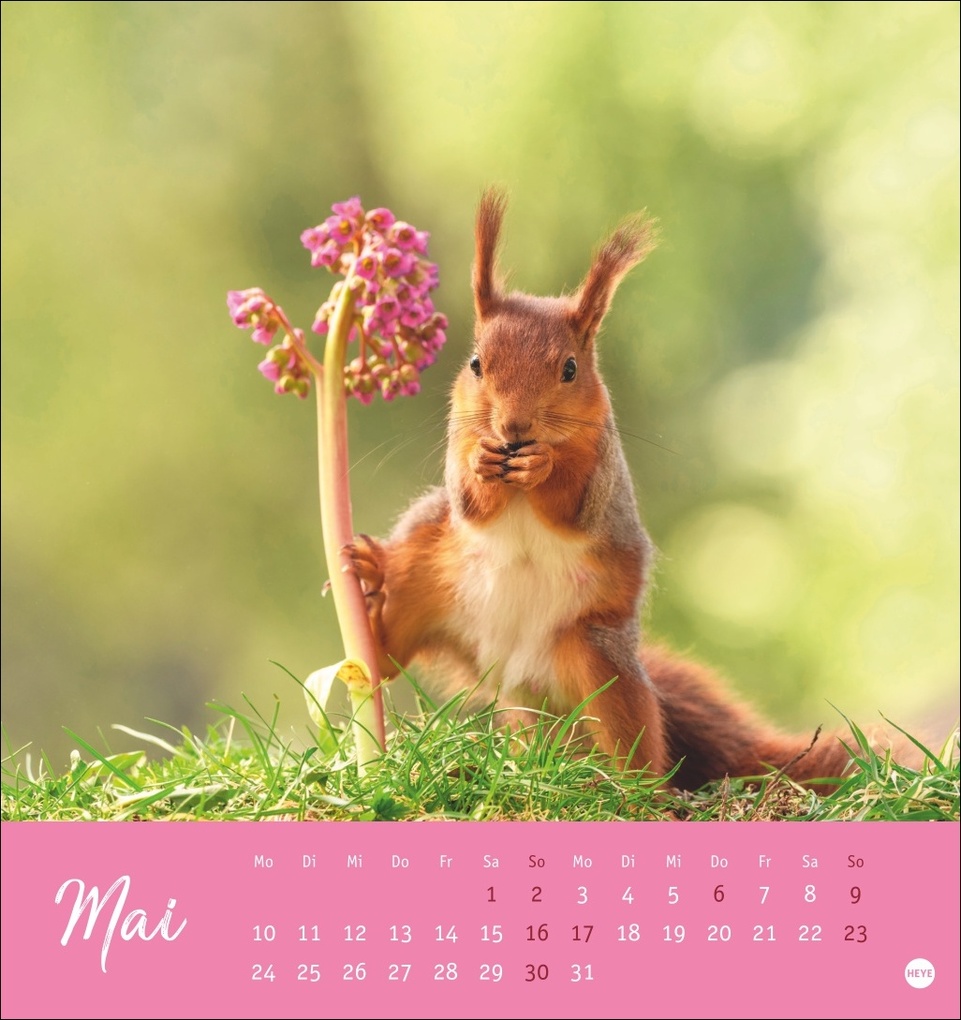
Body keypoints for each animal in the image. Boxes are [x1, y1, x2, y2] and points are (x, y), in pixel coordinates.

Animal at [346, 189, 901, 789]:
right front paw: (483, 462)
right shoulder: (458, 441)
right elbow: (469, 500)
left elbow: (574, 503)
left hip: (597, 658)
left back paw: (628, 788)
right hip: (424, 580)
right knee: (390, 657)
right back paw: (370, 590)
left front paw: (542, 465)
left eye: (569, 368)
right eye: (476, 364)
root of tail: (514, 670)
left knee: (636, 742)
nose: (514, 429)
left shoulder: (603, 468)